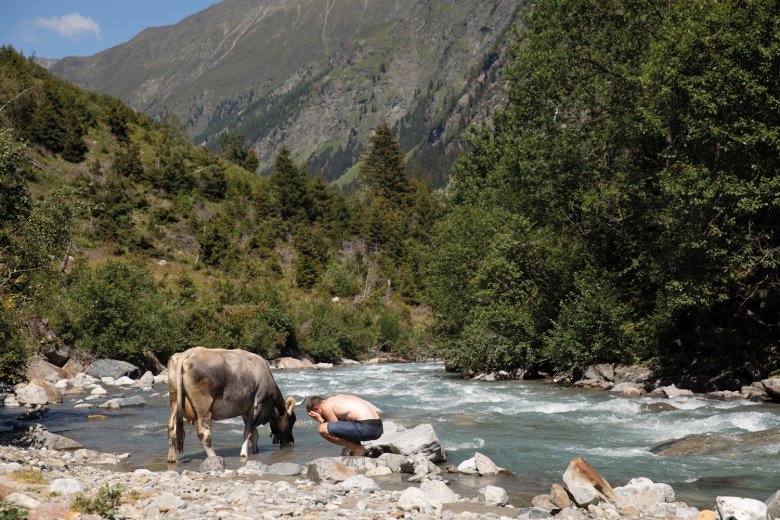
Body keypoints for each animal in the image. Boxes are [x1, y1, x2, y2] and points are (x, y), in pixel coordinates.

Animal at [166, 346, 298, 464]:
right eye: (291, 421)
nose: (291, 441)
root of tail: (188, 352)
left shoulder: (246, 411)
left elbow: (254, 434)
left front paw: (255, 451)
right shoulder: (257, 405)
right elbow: (248, 432)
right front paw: (244, 454)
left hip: (174, 400)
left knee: (172, 427)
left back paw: (172, 458)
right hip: (204, 407)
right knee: (204, 433)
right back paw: (214, 457)